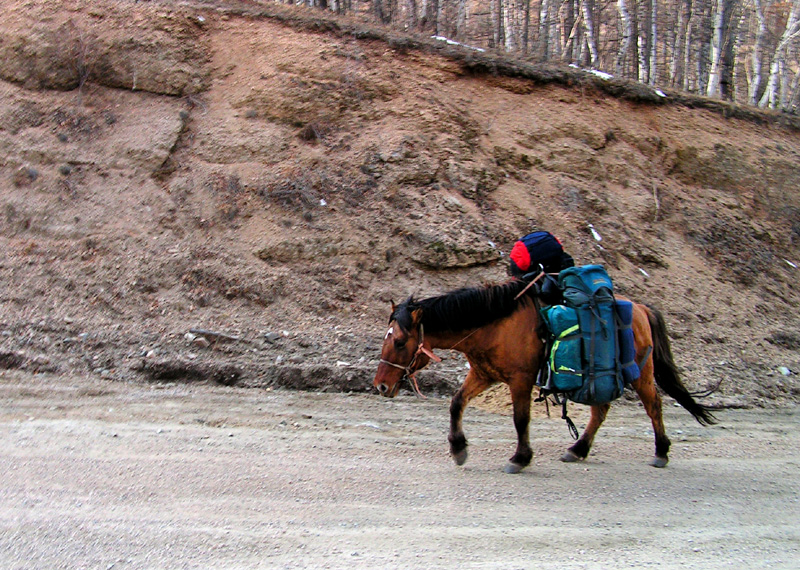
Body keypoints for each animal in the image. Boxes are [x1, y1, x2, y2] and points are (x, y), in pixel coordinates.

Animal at [372, 278, 716, 470]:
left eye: (399, 341)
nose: (381, 386)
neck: (492, 324)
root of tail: (643, 309)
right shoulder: (483, 375)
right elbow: (456, 404)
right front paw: (459, 449)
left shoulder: (520, 380)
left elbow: (520, 419)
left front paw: (520, 458)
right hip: (600, 378)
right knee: (601, 410)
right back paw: (578, 449)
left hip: (639, 373)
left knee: (653, 406)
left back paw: (661, 451)